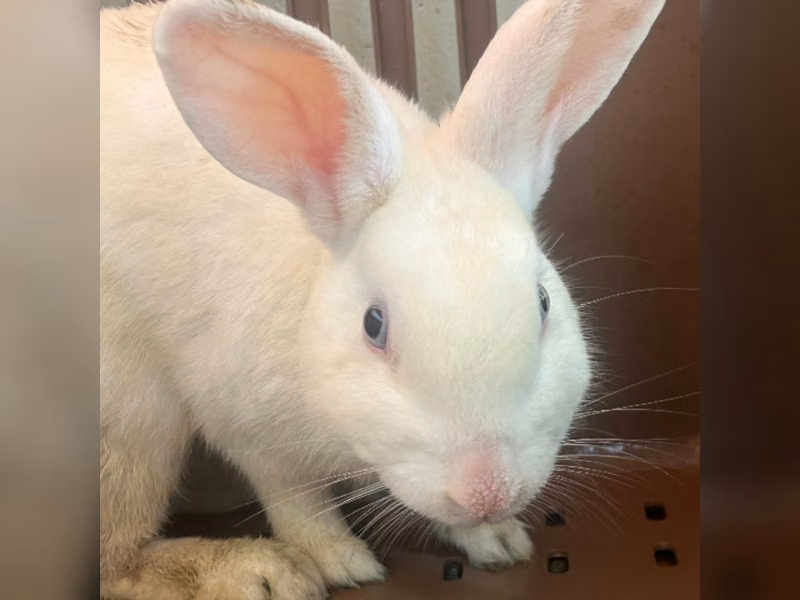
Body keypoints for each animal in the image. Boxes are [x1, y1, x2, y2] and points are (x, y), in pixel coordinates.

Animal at [100, 0, 665, 598]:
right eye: (374, 325)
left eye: (543, 304)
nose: (488, 491)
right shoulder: (248, 428)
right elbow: (297, 503)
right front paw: (341, 562)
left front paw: (500, 541)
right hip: (132, 428)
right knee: (118, 557)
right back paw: (255, 571)